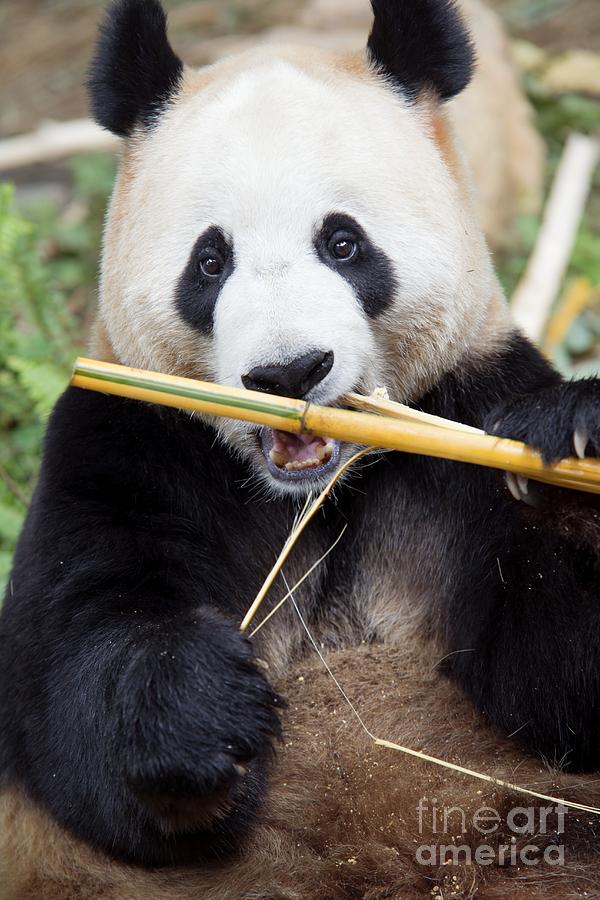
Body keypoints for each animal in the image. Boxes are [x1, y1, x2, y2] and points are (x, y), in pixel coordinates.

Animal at [1, 0, 600, 896]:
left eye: (343, 243)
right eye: (209, 261)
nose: (289, 371)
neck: (320, 493)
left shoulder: (466, 412)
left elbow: (558, 687)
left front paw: (570, 448)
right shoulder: (129, 437)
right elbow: (72, 677)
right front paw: (202, 712)